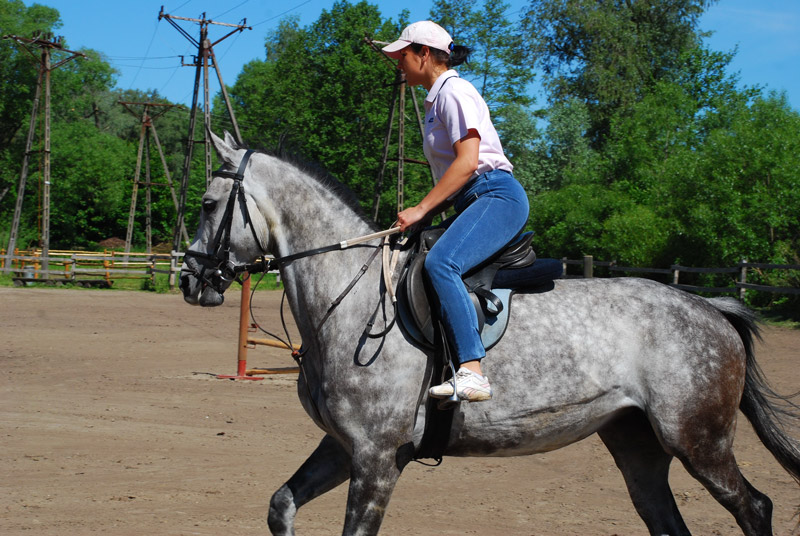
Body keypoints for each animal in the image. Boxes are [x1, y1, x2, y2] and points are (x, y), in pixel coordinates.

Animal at [181, 131, 800, 536]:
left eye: (209, 204)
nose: (190, 280)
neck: (349, 298)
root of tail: (710, 308)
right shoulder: (343, 446)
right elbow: (280, 505)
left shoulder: (377, 458)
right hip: (638, 445)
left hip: (698, 440)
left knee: (755, 507)